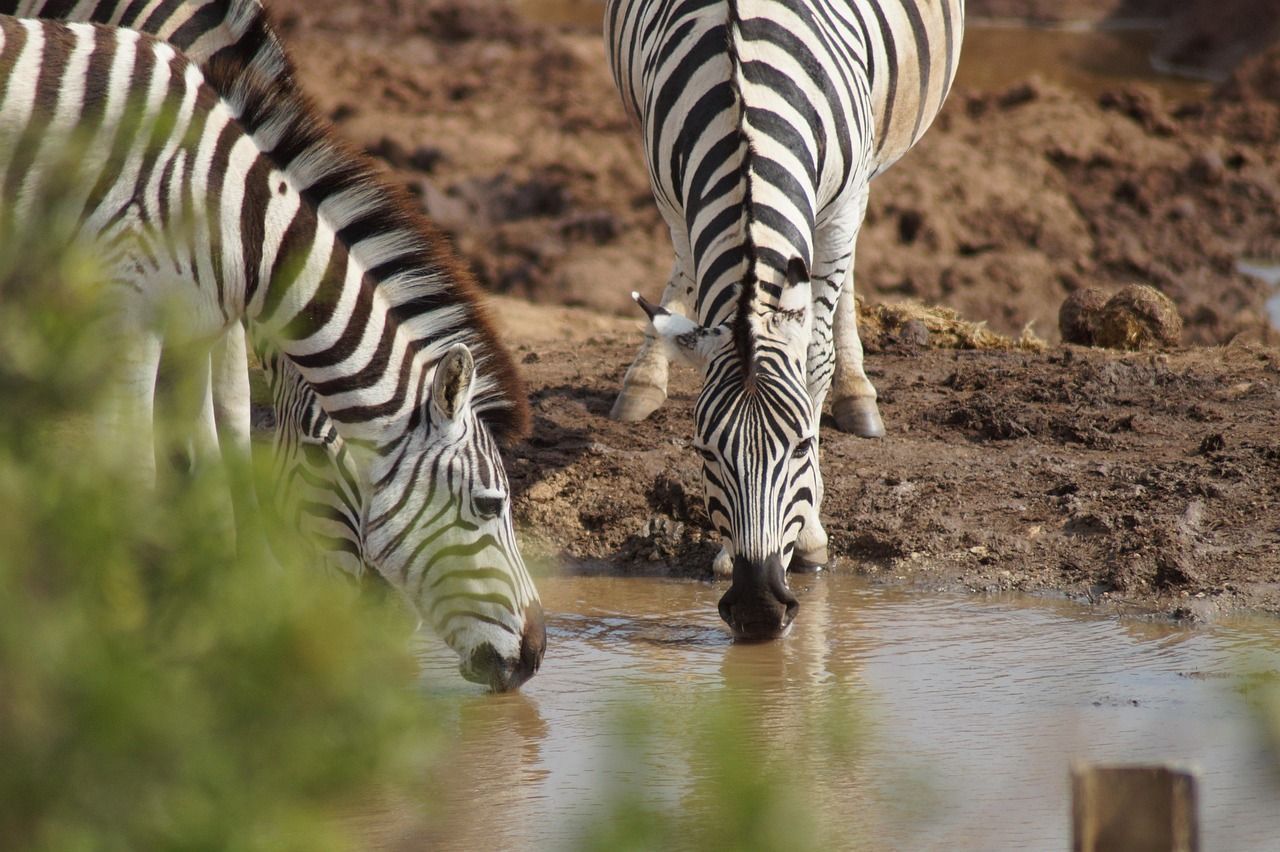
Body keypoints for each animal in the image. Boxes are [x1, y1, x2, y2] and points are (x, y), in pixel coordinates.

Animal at [0, 13, 545, 690]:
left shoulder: (194, 325)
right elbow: (132, 472)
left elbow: (212, 446)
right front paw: (120, 640)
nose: (536, 655)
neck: (231, 217)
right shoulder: (127, 318)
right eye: (489, 505)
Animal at [606, 1, 962, 637]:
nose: (759, 607)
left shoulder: (841, 207)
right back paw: (645, 375)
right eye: (703, 453)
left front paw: (814, 537)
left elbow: (814, 358)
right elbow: (691, 279)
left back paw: (856, 393)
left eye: (801, 446)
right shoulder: (673, 200)